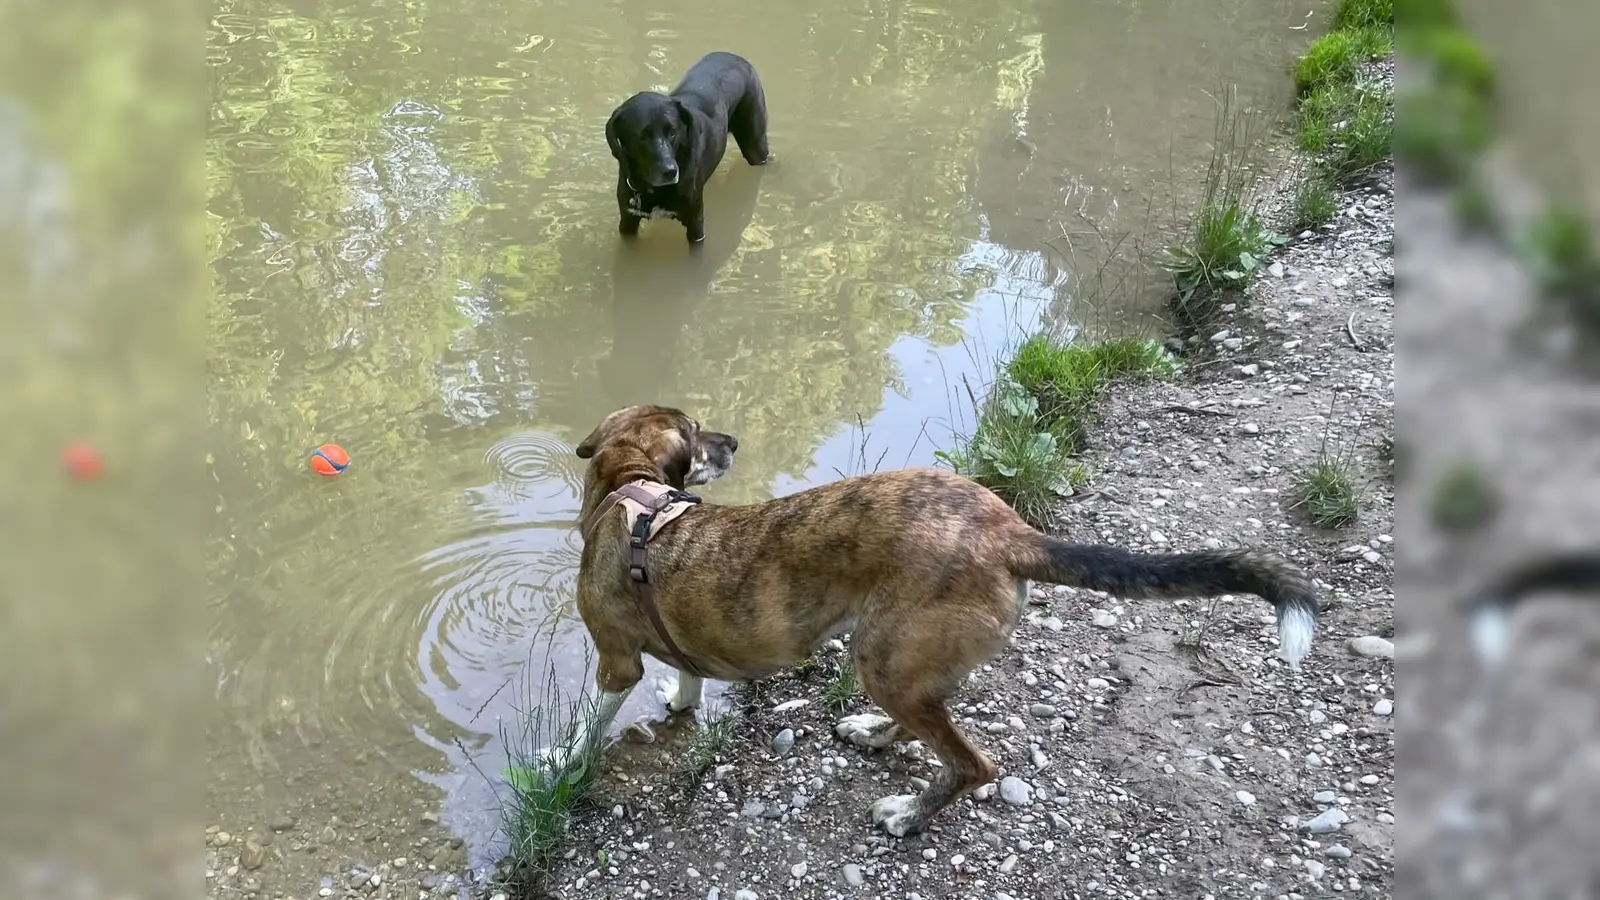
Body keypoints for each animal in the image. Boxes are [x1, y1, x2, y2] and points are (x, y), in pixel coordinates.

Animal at [563, 403, 1324, 832]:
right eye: (697, 434)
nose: (734, 443)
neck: (635, 493)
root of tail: (1010, 532)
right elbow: (687, 681)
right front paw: (679, 700)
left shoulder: (614, 663)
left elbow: (589, 727)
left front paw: (563, 761)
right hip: (903, 658)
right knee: (927, 719)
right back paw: (875, 735)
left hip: (885, 659)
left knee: (972, 763)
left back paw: (908, 814)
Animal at [604, 50, 768, 243]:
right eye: (642, 137)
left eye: (672, 132)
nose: (670, 171)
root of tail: (736, 56)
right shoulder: (628, 220)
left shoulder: (695, 221)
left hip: (755, 147)